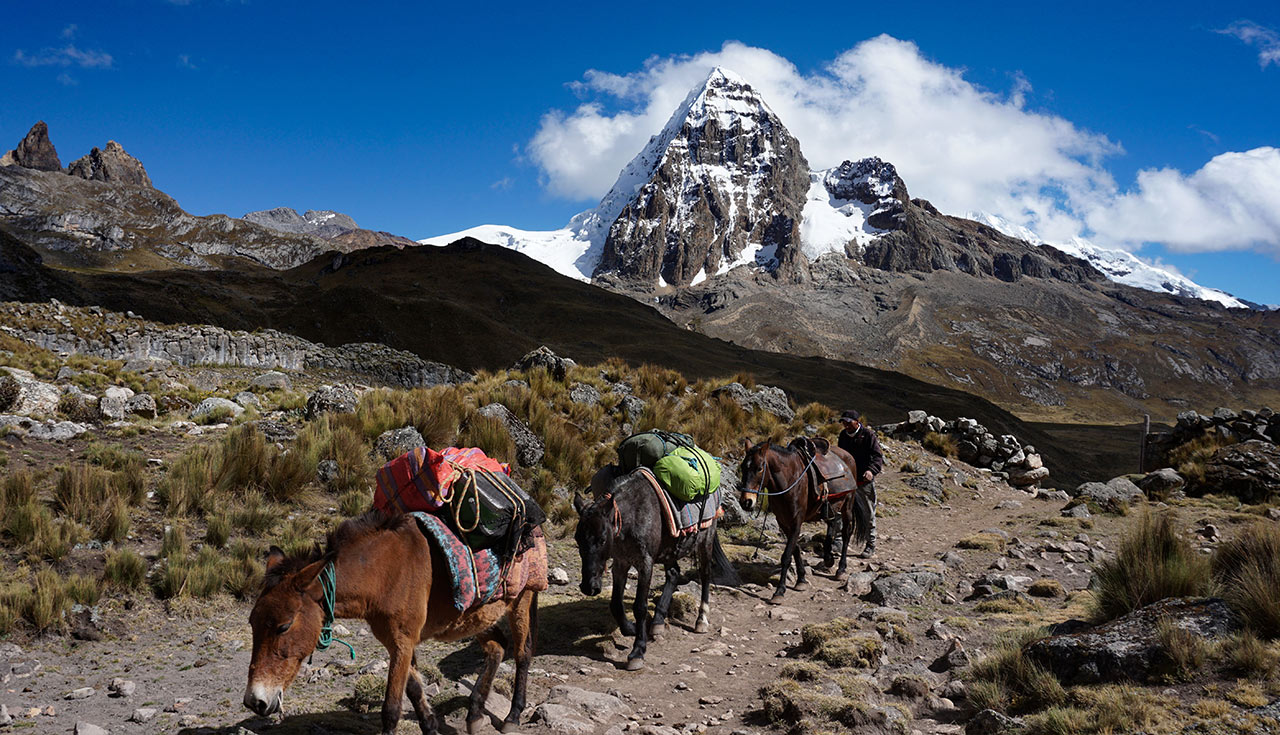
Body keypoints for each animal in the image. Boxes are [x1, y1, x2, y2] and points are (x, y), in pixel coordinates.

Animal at [243, 511, 541, 735]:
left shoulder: (403, 641)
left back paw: (512, 717)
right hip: (474, 618)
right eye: (252, 624)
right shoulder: (397, 642)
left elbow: (392, 708)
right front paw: (431, 727)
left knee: (523, 653)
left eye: (283, 626)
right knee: (497, 647)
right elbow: (415, 690)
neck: (382, 573)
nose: (255, 702)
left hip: (521, 600)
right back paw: (475, 714)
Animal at [573, 468, 738, 671]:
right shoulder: (621, 563)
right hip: (671, 550)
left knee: (705, 575)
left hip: (705, 541)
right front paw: (630, 629)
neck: (633, 517)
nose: (589, 587)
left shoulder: (645, 564)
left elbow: (640, 606)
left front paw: (637, 652)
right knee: (673, 573)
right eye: (577, 539)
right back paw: (658, 622)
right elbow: (616, 604)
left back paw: (701, 620)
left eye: (602, 539)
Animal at [738, 439, 867, 603]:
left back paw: (841, 569)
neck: (789, 480)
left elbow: (786, 556)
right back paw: (828, 558)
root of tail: (848, 455)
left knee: (846, 533)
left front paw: (779, 591)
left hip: (847, 506)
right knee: (831, 524)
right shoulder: (784, 523)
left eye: (760, 468)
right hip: (830, 507)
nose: (746, 502)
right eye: (743, 467)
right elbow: (796, 549)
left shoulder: (796, 522)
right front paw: (801, 579)